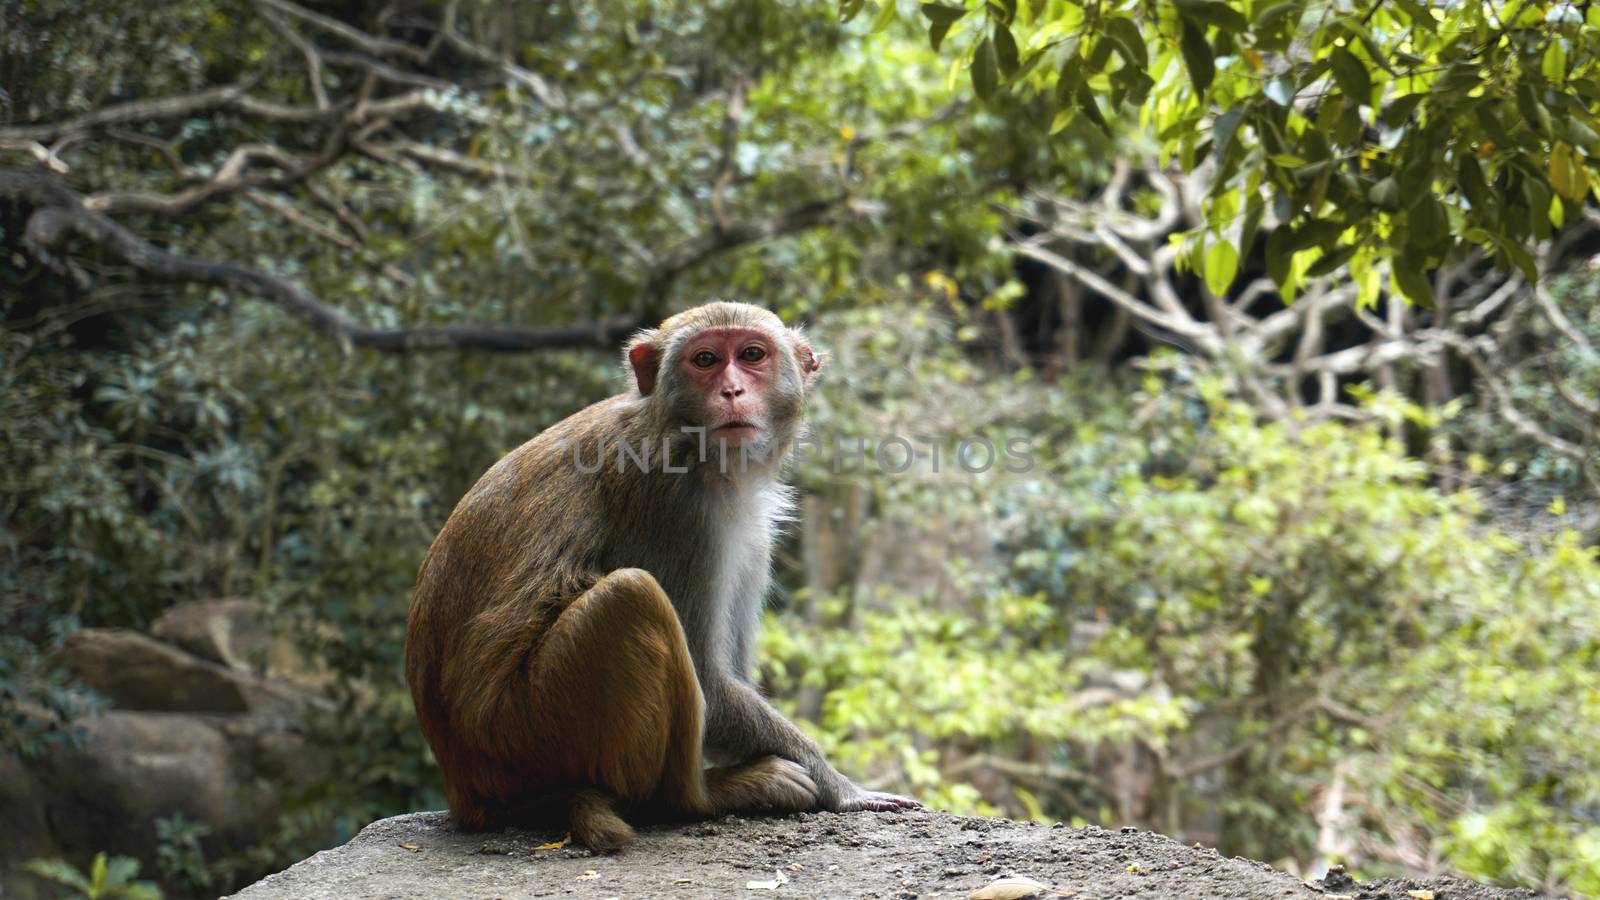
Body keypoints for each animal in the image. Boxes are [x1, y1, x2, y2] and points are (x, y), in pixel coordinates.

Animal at [406, 301, 921, 845]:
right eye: (705, 360)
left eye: (752, 355)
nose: (732, 391)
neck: (686, 440)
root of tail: (464, 786)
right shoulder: (671, 503)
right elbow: (711, 682)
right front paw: (844, 789)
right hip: (526, 730)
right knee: (632, 596)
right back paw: (701, 796)